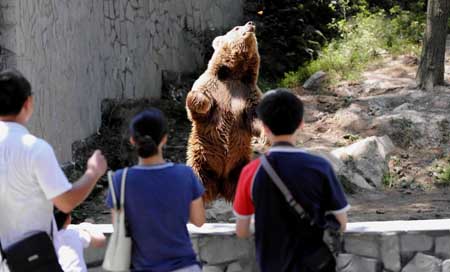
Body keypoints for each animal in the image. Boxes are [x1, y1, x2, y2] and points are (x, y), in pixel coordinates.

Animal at [186, 21, 264, 203]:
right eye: (236, 28)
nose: (251, 23)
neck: (233, 74)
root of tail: (219, 187)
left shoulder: (247, 92)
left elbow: (255, 118)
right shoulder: (212, 86)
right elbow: (198, 107)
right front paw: (200, 101)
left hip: (240, 165)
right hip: (200, 161)